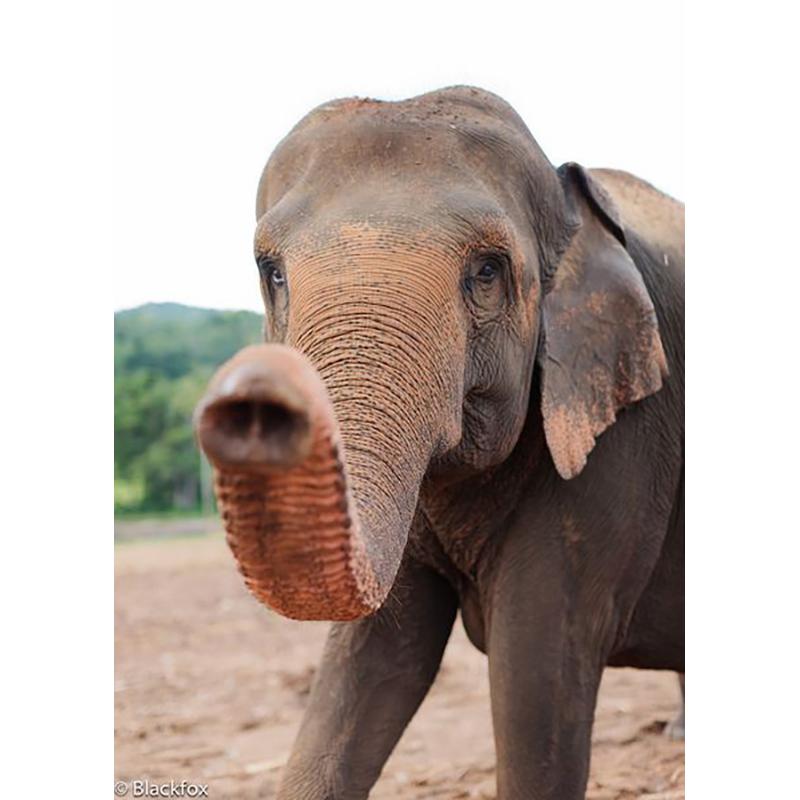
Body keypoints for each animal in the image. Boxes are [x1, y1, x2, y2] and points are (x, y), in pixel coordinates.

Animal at [194, 86, 684, 800]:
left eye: (486, 271)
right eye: (272, 272)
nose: (254, 399)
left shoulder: (620, 445)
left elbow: (536, 676)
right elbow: (371, 666)